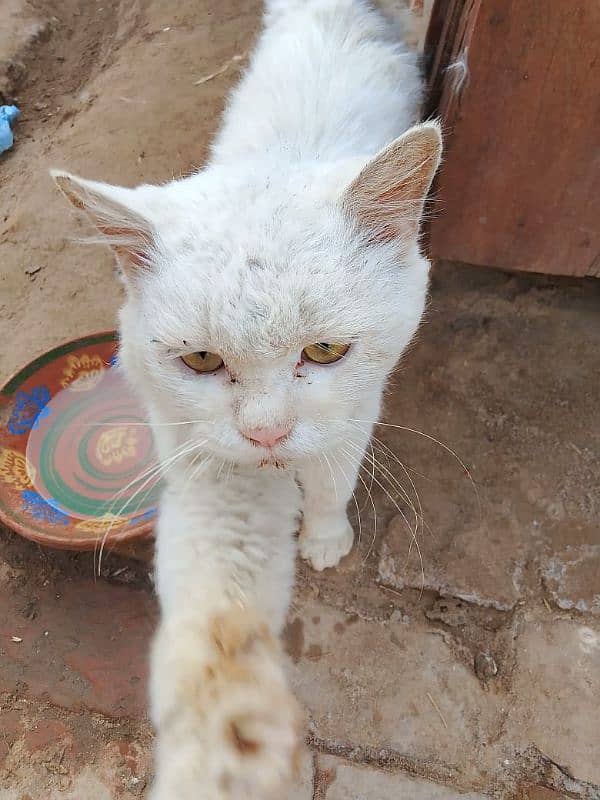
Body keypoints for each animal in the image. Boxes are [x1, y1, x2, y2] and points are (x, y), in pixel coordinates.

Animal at [52, 0, 440, 796]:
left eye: (324, 352)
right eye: (201, 359)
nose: (265, 435)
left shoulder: (354, 409)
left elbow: (330, 480)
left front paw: (324, 538)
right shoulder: (204, 466)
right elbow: (213, 623)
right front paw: (221, 746)